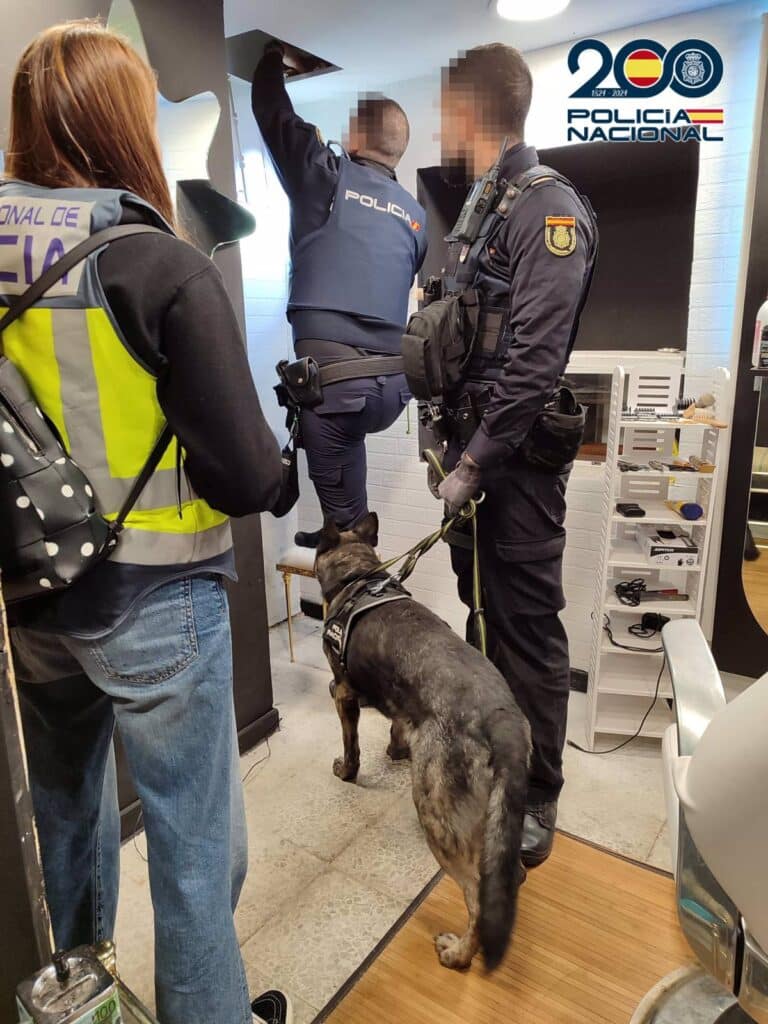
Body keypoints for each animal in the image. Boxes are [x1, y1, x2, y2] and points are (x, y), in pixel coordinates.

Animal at [315, 516, 532, 970]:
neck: (359, 576)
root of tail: (500, 715)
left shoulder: (342, 692)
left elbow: (350, 744)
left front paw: (347, 771)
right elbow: (398, 725)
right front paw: (397, 750)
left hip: (436, 816)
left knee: (476, 896)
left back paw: (459, 954)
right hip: (499, 818)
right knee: (509, 875)